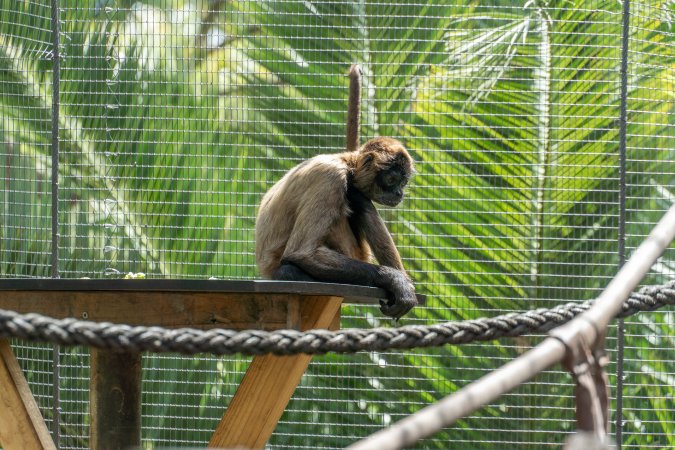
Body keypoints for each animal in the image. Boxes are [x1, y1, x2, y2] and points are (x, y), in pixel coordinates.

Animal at [255, 65, 416, 319]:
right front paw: (394, 279)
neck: (344, 162)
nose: (399, 193)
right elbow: (303, 253)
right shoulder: (330, 177)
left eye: (404, 182)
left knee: (359, 200)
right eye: (392, 179)